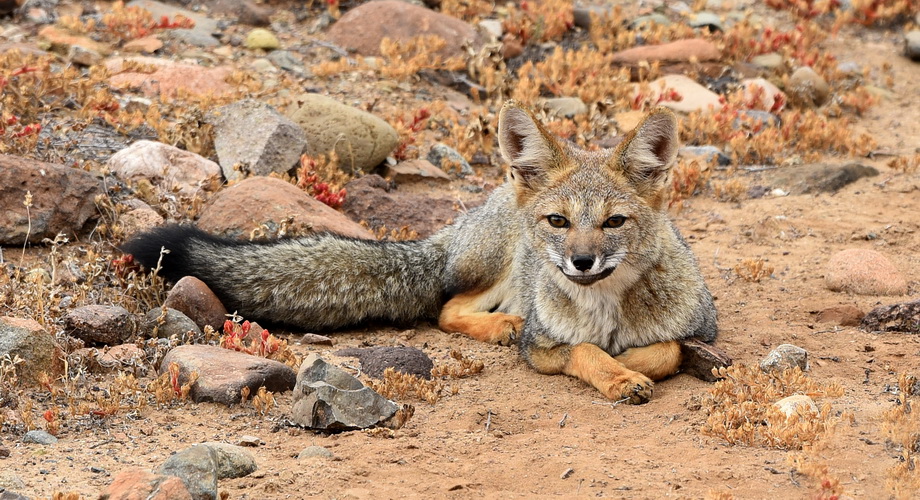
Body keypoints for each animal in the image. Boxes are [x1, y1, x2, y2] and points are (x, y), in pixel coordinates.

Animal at [122, 101, 717, 404]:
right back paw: (501, 324)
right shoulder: (542, 347)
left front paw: (631, 363)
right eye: (559, 222)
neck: (606, 310)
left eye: (614, 222)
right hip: (497, 262)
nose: (581, 262)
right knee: (449, 308)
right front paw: (616, 372)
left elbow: (668, 349)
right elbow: (585, 352)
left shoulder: (703, 328)